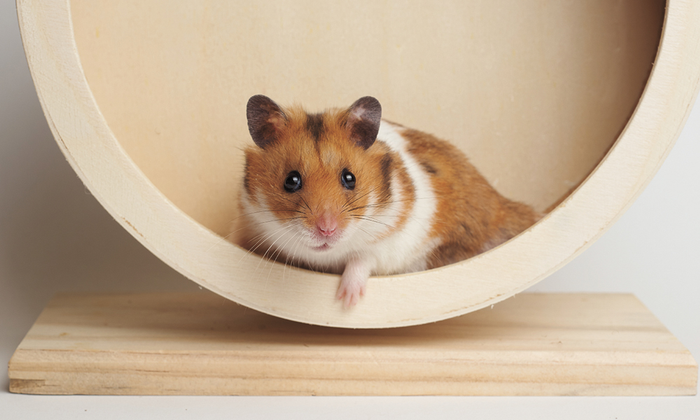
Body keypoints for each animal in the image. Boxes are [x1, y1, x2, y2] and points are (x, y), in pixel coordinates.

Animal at [236, 95, 539, 308]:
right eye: (291, 180)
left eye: (349, 178)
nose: (327, 230)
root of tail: (501, 204)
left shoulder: (390, 241)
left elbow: (362, 259)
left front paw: (347, 302)